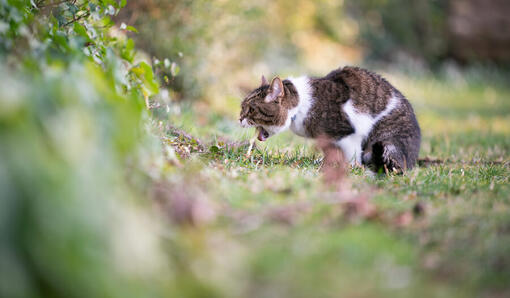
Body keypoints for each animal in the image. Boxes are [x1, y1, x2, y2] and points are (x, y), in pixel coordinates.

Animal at [239, 66, 422, 172]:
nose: (240, 118)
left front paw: (349, 168)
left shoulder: (348, 134)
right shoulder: (329, 140)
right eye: (242, 107)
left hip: (387, 142)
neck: (302, 105)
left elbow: (352, 157)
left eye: (251, 109)